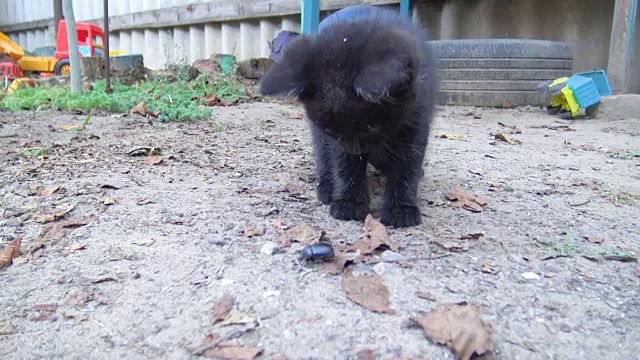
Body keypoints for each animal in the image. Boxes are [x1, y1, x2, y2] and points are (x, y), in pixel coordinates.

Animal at [258, 4, 438, 228]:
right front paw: (350, 202)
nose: (356, 150)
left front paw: (401, 208)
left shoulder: (417, 119)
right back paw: (327, 185)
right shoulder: (334, 138)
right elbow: (344, 163)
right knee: (324, 153)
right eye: (330, 129)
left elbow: (407, 163)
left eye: (372, 126)